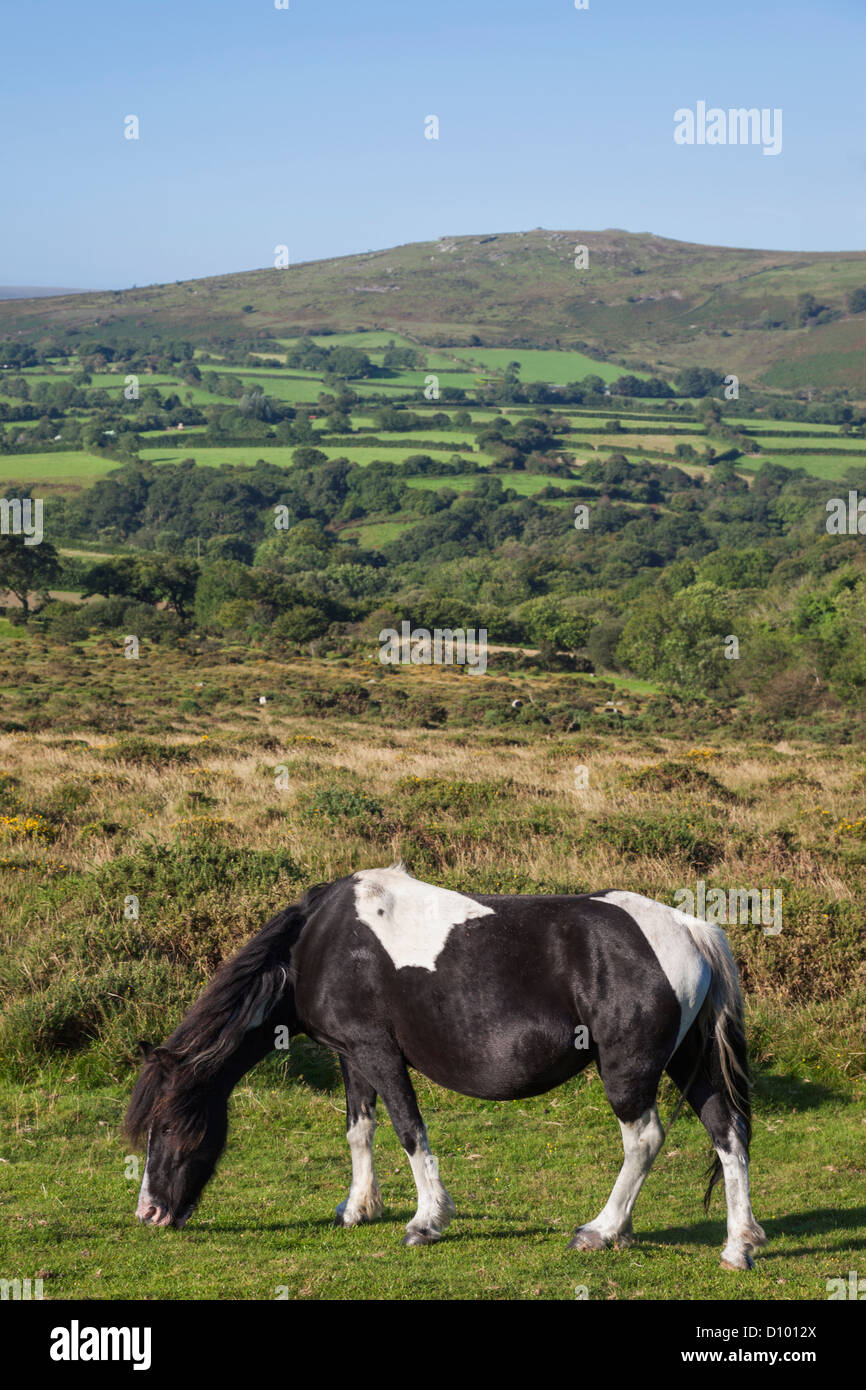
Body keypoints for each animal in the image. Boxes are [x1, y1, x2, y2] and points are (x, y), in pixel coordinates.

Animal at [125, 863, 766, 1269]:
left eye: (169, 1125)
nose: (149, 1214)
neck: (320, 945)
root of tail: (692, 928)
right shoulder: (352, 1056)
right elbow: (360, 1131)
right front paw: (357, 1209)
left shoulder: (379, 1053)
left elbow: (409, 1130)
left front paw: (426, 1221)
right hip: (691, 1064)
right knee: (728, 1134)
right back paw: (737, 1246)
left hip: (628, 1072)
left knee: (645, 1139)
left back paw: (601, 1230)